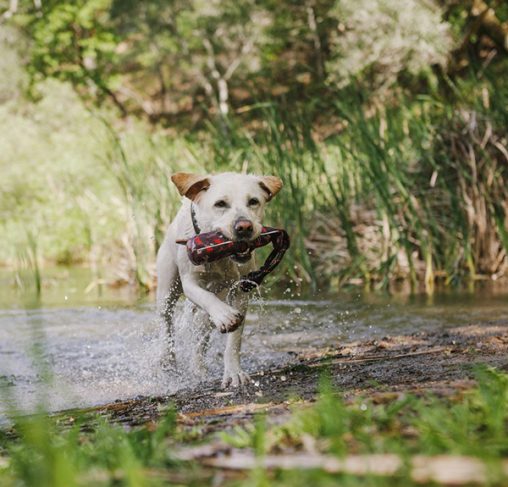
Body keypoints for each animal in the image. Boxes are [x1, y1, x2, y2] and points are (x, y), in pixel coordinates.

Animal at [156, 172, 282, 388]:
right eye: (220, 204)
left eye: (253, 201)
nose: (244, 227)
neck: (222, 257)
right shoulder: (190, 282)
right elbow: (205, 297)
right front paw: (225, 315)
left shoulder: (241, 290)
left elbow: (234, 340)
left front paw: (234, 373)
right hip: (167, 287)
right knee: (166, 320)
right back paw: (167, 360)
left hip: (205, 316)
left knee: (201, 337)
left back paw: (198, 369)